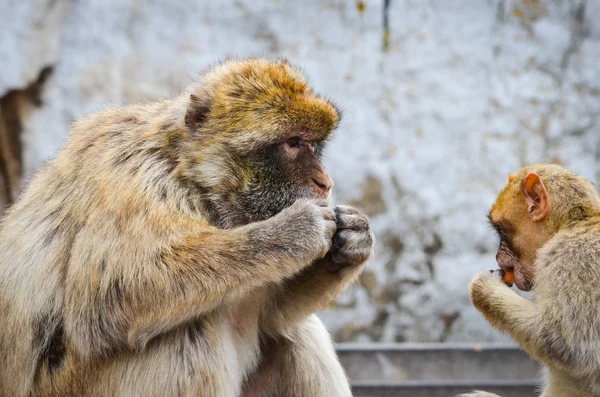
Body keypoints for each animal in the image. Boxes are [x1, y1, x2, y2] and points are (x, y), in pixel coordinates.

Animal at [0, 58, 376, 396]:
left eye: (313, 144)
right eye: (293, 143)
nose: (325, 182)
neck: (190, 175)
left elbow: (271, 317)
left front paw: (352, 240)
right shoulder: (134, 177)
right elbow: (109, 295)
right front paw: (294, 232)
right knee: (186, 326)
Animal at [462, 162, 600, 394]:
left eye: (501, 231)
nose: (498, 257)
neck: (574, 223)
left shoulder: (571, 258)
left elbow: (571, 349)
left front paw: (483, 287)